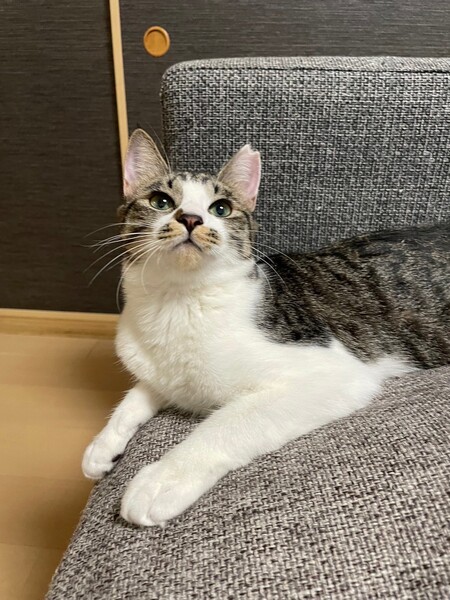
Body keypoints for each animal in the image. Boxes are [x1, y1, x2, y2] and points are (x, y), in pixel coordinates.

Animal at [82, 129, 450, 527]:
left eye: (221, 208)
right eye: (161, 201)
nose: (191, 218)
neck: (178, 303)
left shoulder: (335, 373)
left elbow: (228, 421)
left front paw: (162, 479)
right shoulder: (164, 374)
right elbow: (138, 394)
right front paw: (103, 445)